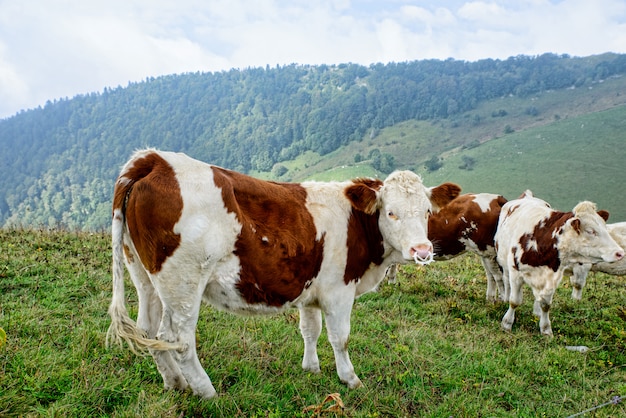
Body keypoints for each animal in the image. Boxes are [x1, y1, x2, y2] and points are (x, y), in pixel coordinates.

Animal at [106, 149, 458, 398]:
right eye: (391, 212)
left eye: (427, 211)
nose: (421, 250)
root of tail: (155, 160)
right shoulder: (338, 291)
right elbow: (340, 338)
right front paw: (350, 379)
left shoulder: (311, 290)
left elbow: (310, 330)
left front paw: (311, 368)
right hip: (183, 282)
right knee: (177, 339)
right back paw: (206, 391)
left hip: (145, 275)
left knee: (149, 330)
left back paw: (175, 383)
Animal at [380, 193, 508, 300]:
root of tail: (496, 198)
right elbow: (392, 267)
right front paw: (391, 285)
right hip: (485, 252)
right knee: (491, 275)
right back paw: (490, 300)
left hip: (489, 250)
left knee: (498, 276)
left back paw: (502, 301)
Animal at [494, 191, 620, 338]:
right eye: (590, 231)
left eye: (605, 227)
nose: (620, 253)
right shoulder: (516, 273)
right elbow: (514, 301)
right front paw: (507, 323)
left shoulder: (553, 277)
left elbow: (545, 304)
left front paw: (545, 329)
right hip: (504, 264)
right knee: (507, 283)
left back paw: (536, 312)